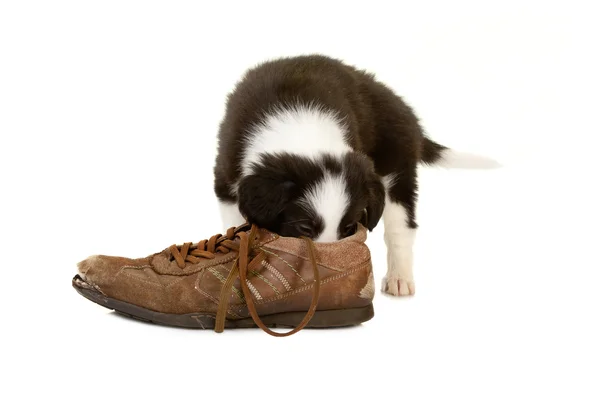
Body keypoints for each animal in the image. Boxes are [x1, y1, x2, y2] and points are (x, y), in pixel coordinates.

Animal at [216, 55, 460, 296]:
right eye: (305, 228)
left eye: (348, 228)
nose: (324, 279)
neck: (302, 129)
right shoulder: (227, 179)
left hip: (397, 167)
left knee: (400, 225)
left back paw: (399, 278)